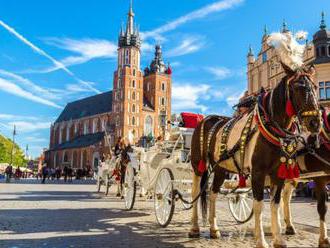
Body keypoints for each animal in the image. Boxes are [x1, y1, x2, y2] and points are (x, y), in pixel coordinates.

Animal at [189, 64, 320, 248]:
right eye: (297, 87)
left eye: (315, 87)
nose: (315, 123)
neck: (272, 128)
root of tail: (206, 119)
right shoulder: (258, 173)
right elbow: (259, 205)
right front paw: (261, 240)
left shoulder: (278, 174)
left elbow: (275, 204)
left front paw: (278, 238)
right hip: (197, 165)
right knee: (195, 192)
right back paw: (194, 228)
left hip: (221, 167)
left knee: (213, 193)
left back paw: (214, 229)